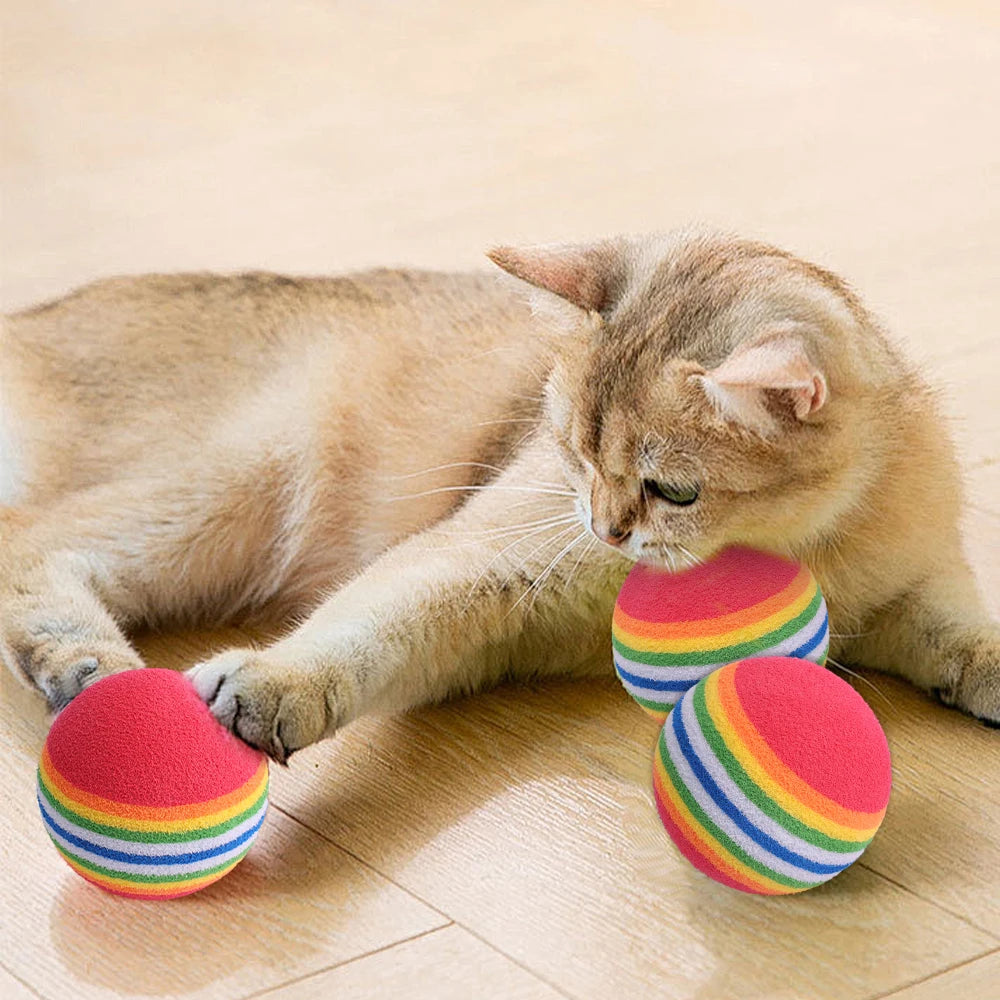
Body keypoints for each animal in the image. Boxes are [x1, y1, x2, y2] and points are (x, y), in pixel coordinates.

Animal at [0, 229, 996, 756]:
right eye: (570, 451)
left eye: (672, 490)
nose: (604, 529)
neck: (792, 543)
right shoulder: (481, 559)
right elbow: (367, 622)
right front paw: (275, 683)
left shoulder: (916, 587)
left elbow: (964, 631)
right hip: (245, 479)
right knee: (30, 537)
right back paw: (84, 662)